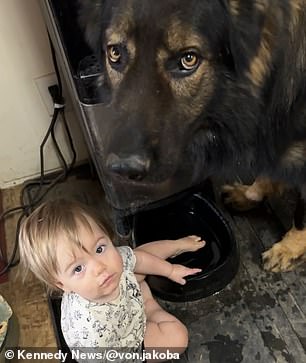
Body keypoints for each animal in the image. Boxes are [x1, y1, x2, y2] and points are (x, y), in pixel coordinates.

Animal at [78, 0, 306, 272]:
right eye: (115, 54)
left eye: (188, 59)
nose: (123, 169)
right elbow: (265, 173)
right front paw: (251, 194)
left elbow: (302, 217)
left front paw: (289, 248)